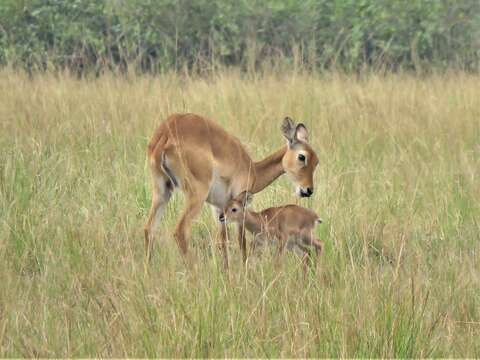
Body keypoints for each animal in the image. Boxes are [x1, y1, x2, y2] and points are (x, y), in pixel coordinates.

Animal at [144, 112, 320, 268]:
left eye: (316, 161)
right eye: (302, 156)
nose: (308, 190)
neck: (253, 170)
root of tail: (166, 134)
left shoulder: (219, 208)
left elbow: (223, 242)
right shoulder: (238, 202)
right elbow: (241, 241)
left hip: (162, 192)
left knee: (149, 229)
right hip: (196, 195)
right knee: (181, 231)